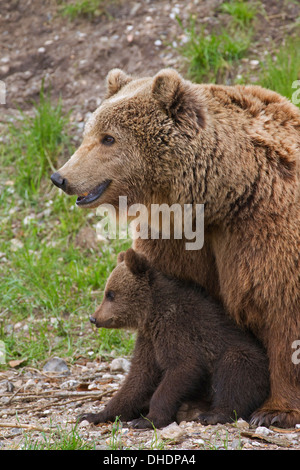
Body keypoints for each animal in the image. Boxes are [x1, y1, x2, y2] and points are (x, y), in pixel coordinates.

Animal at [79, 250, 270, 430]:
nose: (93, 318)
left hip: (249, 359)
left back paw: (213, 414)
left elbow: (183, 368)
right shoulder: (149, 340)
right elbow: (138, 377)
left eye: (110, 294)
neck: (152, 313)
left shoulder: (177, 330)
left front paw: (147, 419)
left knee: (234, 369)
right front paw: (95, 414)